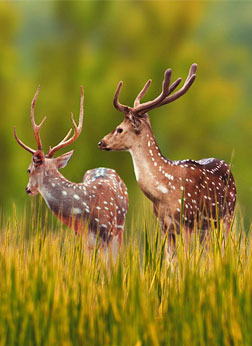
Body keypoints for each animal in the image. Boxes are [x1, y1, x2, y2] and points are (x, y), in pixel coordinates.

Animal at [98, 63, 236, 255]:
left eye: (119, 129)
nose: (101, 142)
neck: (162, 193)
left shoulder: (187, 220)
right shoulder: (164, 226)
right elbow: (169, 259)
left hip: (228, 216)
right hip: (208, 227)